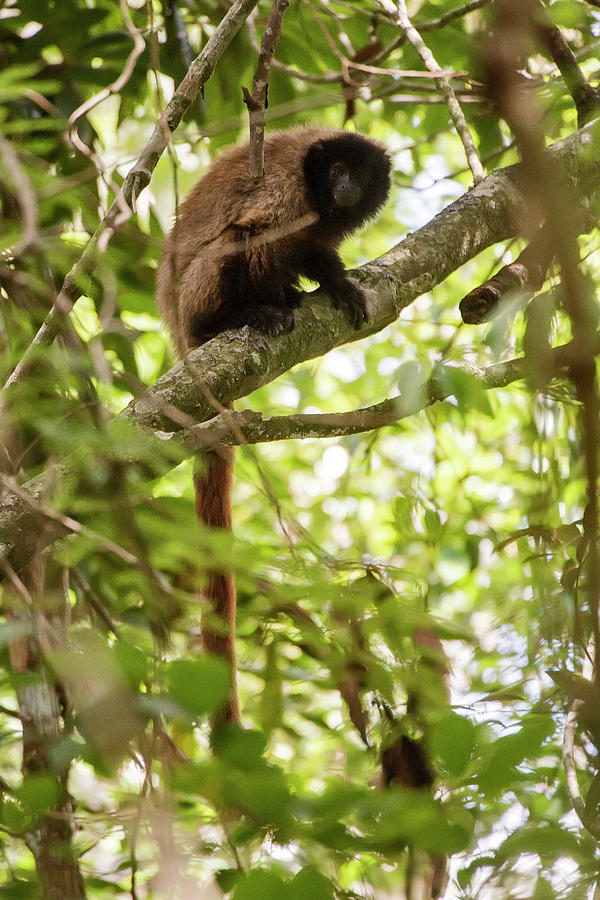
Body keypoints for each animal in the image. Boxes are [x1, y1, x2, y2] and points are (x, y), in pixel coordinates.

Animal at [158, 125, 394, 724]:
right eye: (336, 170)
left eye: (359, 174)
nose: (346, 187)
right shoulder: (288, 189)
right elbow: (257, 233)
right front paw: (267, 306)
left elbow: (314, 249)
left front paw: (338, 284)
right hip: (195, 304)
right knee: (237, 243)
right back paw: (241, 316)